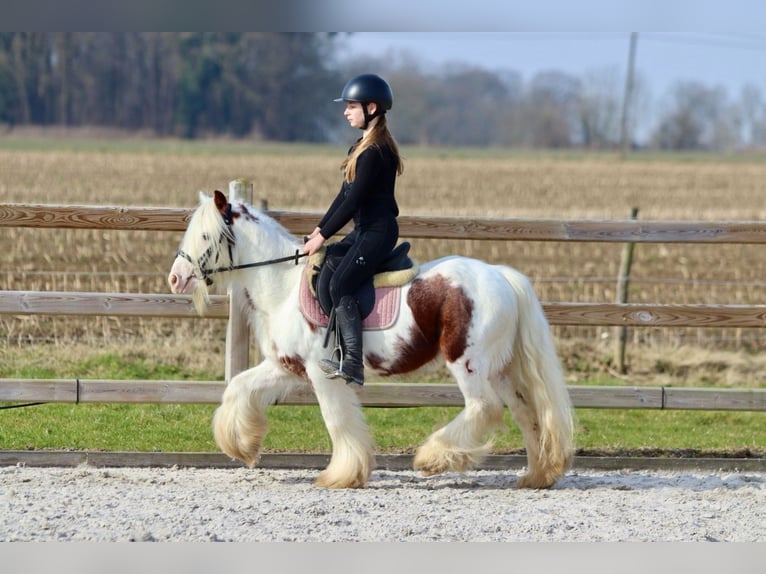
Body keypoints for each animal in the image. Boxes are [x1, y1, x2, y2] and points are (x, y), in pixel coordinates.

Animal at [170, 192, 576, 490]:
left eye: (205, 236)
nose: (175, 279)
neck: (283, 286)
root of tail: (500, 275)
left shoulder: (321, 373)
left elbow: (337, 422)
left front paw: (342, 476)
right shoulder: (284, 366)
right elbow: (238, 387)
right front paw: (243, 447)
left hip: (468, 362)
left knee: (485, 408)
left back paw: (432, 457)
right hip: (500, 368)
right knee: (526, 413)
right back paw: (537, 476)